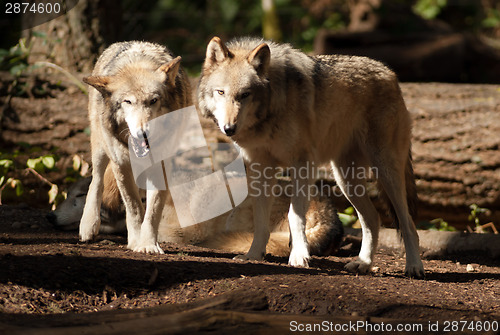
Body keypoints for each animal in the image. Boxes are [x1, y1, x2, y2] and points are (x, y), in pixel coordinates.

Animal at [80, 40, 191, 253]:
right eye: (128, 101)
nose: (143, 132)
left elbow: (152, 210)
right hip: (100, 147)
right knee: (96, 180)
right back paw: (88, 226)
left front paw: (147, 244)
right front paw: (136, 240)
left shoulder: (161, 166)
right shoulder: (121, 165)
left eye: (153, 100)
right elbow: (133, 207)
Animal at [197, 36, 424, 278]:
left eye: (245, 95)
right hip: (345, 180)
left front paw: (299, 256)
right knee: (373, 219)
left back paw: (414, 266)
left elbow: (295, 216)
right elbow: (260, 219)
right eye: (221, 92)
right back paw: (363, 263)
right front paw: (253, 254)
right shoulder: (262, 169)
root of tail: (390, 73)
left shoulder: (302, 165)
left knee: (408, 223)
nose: (229, 128)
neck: (270, 111)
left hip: (385, 172)